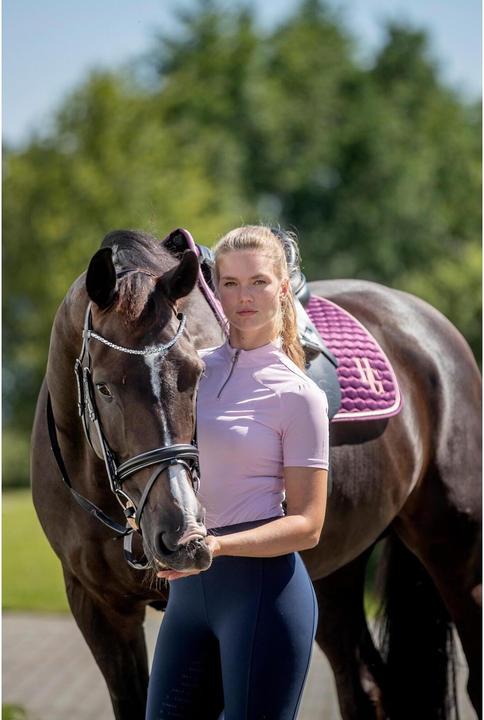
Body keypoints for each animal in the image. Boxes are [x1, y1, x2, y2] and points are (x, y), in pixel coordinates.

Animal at [31, 229, 481, 720]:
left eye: (196, 375)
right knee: (363, 686)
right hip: (335, 575)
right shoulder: (98, 609)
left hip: (457, 558)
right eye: (104, 387)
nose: (182, 534)